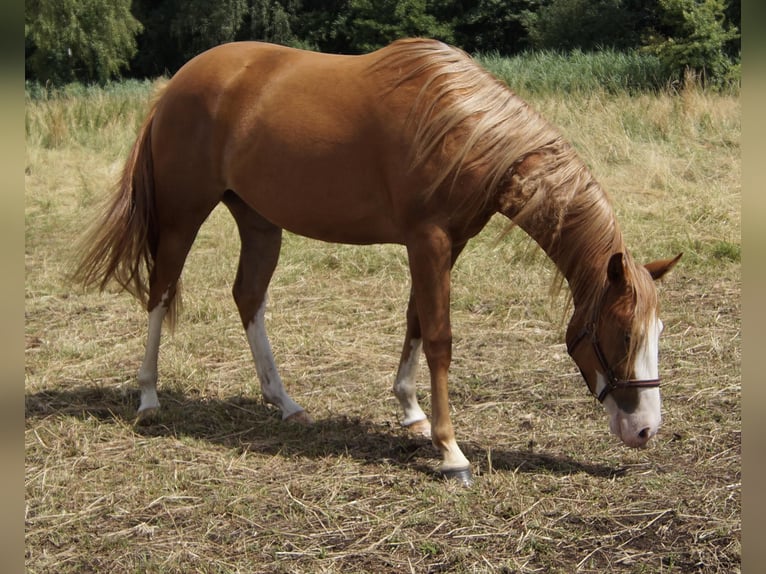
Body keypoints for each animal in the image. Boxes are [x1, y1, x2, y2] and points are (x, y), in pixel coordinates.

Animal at [73, 38, 684, 486]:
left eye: (656, 332)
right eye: (621, 333)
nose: (645, 431)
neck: (463, 128)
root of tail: (174, 85)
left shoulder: (446, 245)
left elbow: (415, 322)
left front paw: (411, 412)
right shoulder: (427, 240)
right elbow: (439, 337)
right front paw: (452, 452)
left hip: (259, 221)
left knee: (248, 297)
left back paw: (285, 402)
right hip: (183, 215)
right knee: (160, 292)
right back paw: (148, 397)